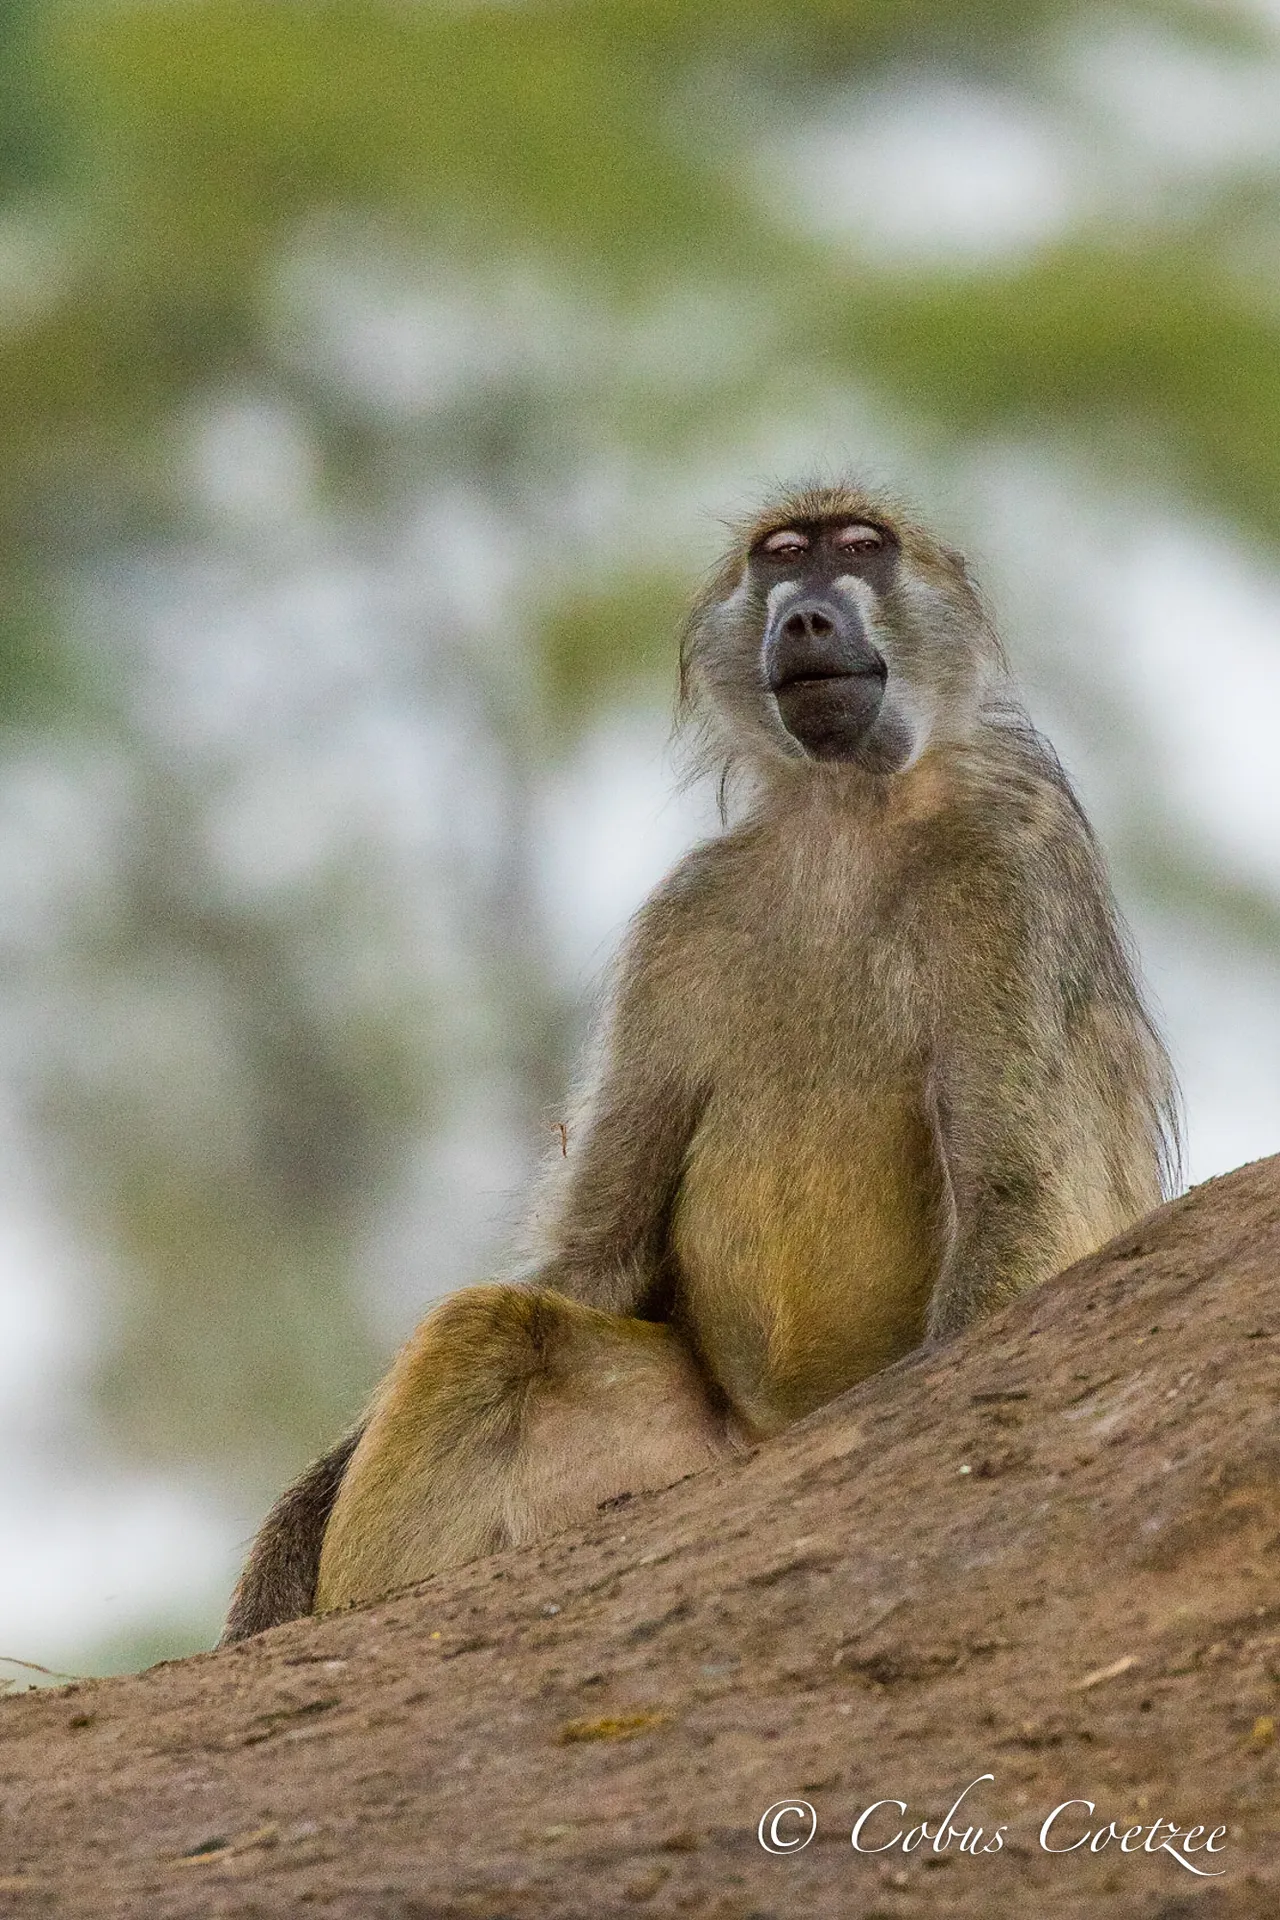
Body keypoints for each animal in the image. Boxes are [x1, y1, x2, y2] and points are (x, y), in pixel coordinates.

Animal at [220, 480, 1179, 1644]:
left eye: (860, 549)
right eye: (782, 558)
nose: (805, 618)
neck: (844, 814)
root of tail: (768, 1441)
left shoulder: (1011, 868)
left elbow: (1010, 1189)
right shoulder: (684, 919)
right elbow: (598, 1248)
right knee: (491, 1328)